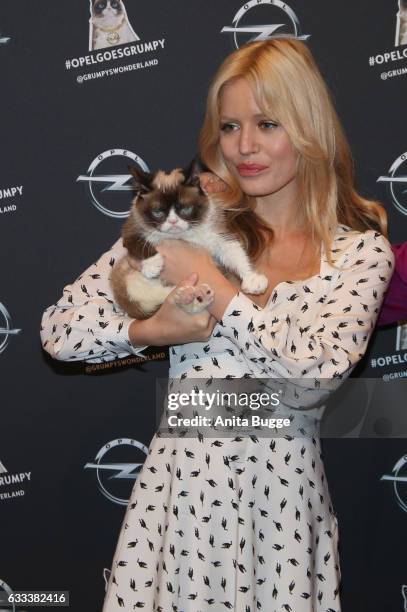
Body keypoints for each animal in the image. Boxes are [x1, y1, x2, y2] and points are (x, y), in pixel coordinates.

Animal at [111, 163, 270, 320]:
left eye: (186, 209)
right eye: (158, 212)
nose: (173, 221)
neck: (183, 236)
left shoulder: (219, 236)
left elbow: (235, 254)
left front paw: (252, 279)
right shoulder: (130, 230)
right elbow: (139, 245)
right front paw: (152, 265)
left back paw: (194, 296)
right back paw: (187, 296)